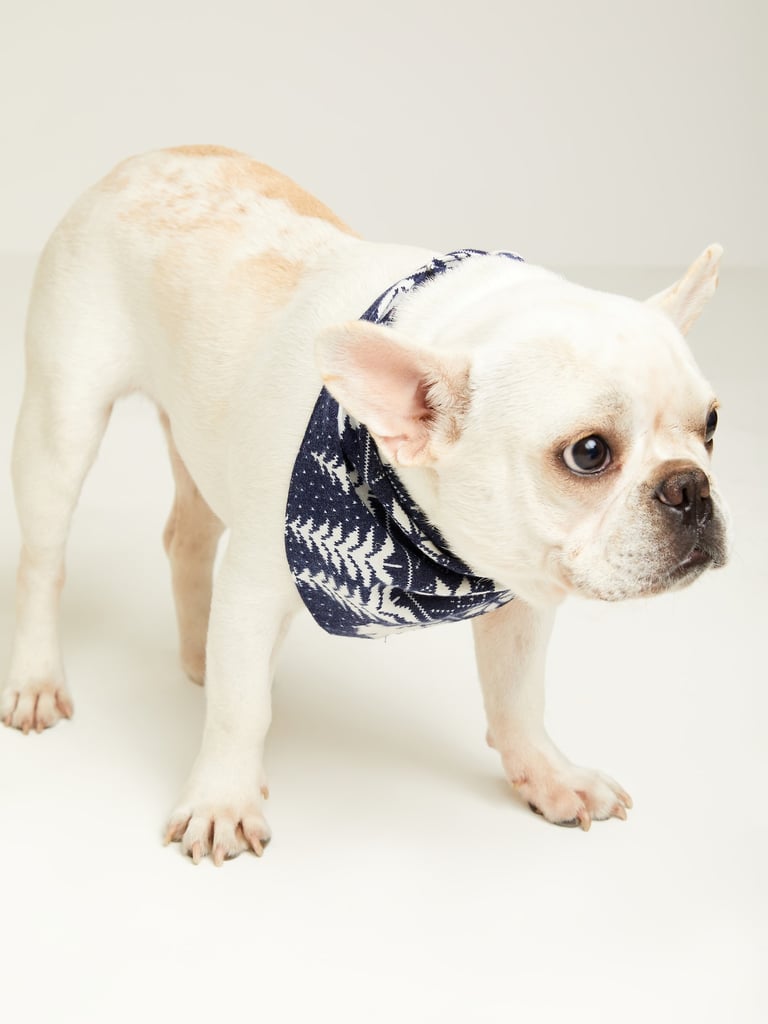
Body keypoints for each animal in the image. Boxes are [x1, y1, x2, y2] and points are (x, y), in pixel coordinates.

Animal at [1, 146, 733, 864]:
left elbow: (518, 695)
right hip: (62, 422)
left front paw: (548, 776)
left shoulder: (521, 585)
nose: (690, 486)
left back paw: (202, 654)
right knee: (44, 561)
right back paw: (38, 676)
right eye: (588, 453)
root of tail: (141, 162)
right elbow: (242, 711)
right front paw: (222, 800)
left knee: (187, 539)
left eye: (712, 425)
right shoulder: (258, 584)